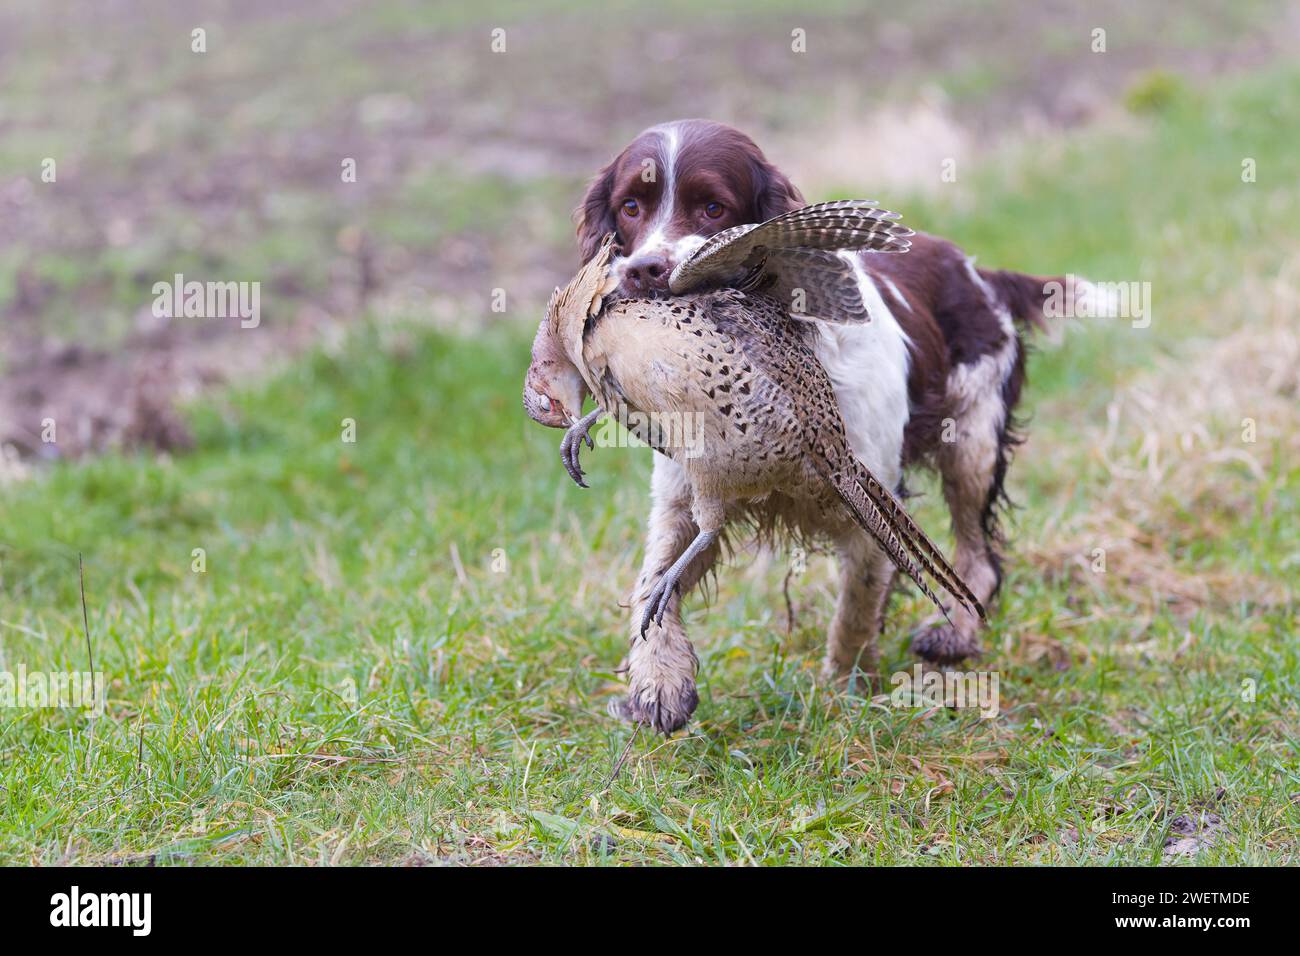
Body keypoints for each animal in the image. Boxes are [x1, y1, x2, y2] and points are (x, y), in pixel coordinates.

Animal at [566, 119, 1066, 733]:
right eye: (630, 205)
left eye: (713, 207)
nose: (643, 271)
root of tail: (975, 269)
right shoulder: (687, 491)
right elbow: (655, 578)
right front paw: (659, 684)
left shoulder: (868, 500)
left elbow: (857, 608)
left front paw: (846, 693)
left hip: (971, 443)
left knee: (978, 557)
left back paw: (955, 636)